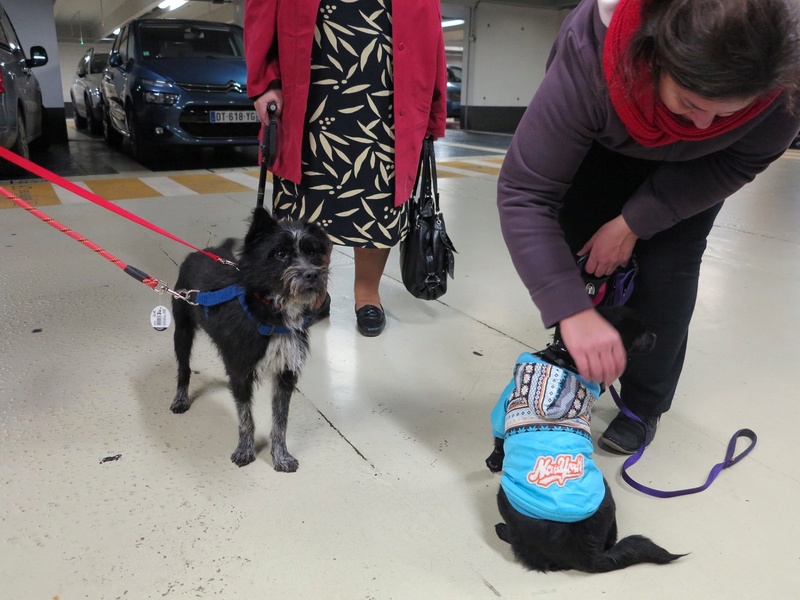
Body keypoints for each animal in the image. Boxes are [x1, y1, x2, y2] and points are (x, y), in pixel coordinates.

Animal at [169, 209, 332, 472]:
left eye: (312, 252)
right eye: (280, 254)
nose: (313, 274)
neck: (273, 313)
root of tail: (201, 251)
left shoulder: (285, 372)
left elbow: (280, 421)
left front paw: (281, 456)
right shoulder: (240, 369)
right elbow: (246, 417)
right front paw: (245, 451)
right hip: (182, 330)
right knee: (184, 369)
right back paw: (180, 398)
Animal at [484, 308, 684, 576]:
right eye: (641, 332)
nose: (656, 336)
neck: (567, 362)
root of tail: (588, 555)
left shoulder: (500, 412)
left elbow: (497, 444)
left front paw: (493, 462)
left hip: (504, 498)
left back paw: (502, 530)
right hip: (607, 499)